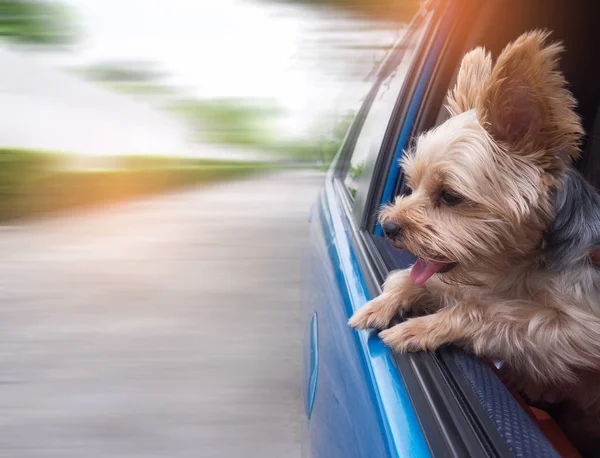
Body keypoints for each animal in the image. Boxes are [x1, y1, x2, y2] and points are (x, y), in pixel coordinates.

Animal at [350, 30, 600, 456]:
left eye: (450, 196)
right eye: (411, 184)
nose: (389, 225)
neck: (521, 264)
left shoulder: (579, 327)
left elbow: (485, 311)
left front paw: (420, 328)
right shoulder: (466, 278)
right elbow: (411, 280)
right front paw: (381, 304)